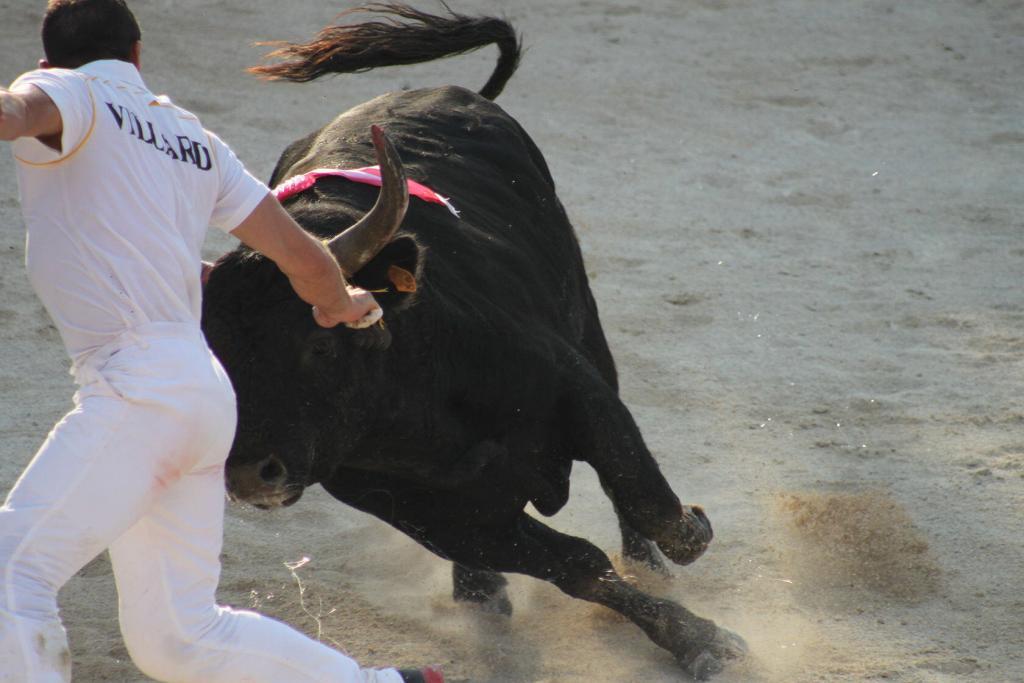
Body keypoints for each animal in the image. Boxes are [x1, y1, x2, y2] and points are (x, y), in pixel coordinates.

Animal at [199, 3, 745, 679]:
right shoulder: (435, 514)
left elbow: (644, 499)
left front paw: (694, 554)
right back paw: (479, 592)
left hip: (588, 322)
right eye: (221, 365)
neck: (412, 395)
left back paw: (651, 565)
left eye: (319, 345)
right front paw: (695, 638)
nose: (250, 475)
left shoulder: (576, 388)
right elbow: (579, 566)